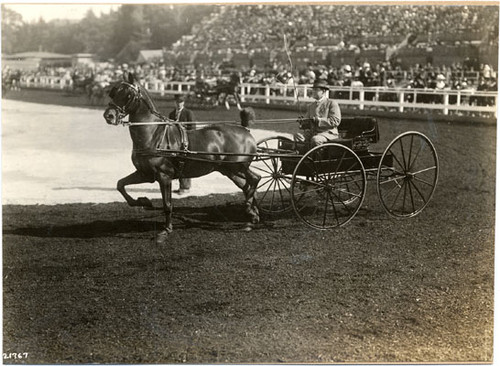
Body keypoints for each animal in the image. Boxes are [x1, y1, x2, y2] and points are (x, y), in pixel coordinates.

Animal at [102, 73, 262, 244]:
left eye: (128, 95)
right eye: (114, 92)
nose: (109, 116)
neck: (153, 135)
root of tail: (245, 129)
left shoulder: (164, 176)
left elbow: (167, 204)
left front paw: (165, 231)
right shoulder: (145, 174)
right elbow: (120, 184)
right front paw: (143, 201)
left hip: (238, 166)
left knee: (255, 179)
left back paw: (249, 210)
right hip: (229, 170)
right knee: (246, 186)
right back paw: (252, 217)